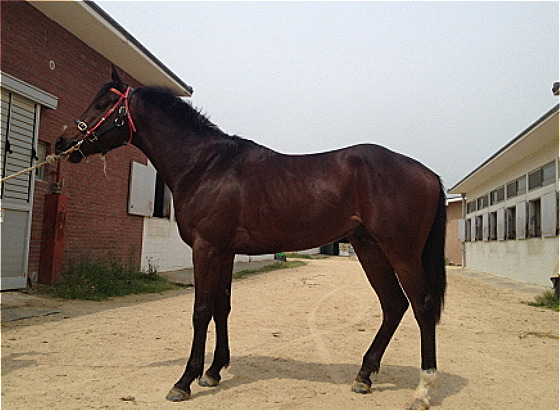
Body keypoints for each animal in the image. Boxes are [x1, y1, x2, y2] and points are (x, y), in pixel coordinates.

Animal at [55, 66, 446, 410]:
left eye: (103, 103)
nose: (63, 142)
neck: (206, 165)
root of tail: (430, 174)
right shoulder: (225, 251)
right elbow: (221, 307)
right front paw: (213, 372)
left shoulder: (206, 248)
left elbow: (200, 311)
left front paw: (184, 381)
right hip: (369, 248)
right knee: (393, 304)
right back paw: (364, 375)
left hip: (401, 252)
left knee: (422, 306)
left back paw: (423, 391)